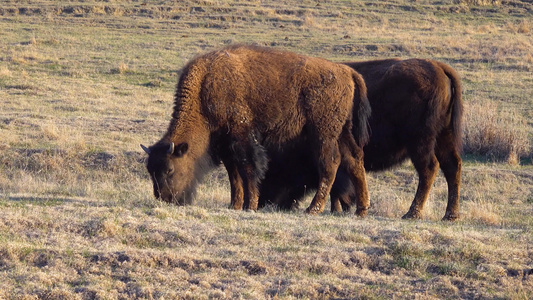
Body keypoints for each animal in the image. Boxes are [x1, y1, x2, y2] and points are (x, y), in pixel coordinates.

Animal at [139, 44, 370, 214]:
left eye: (169, 169)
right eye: (150, 170)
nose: (164, 198)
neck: (205, 88)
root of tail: (346, 72)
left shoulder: (242, 136)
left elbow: (249, 169)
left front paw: (250, 206)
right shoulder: (225, 145)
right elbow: (234, 175)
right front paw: (234, 205)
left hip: (323, 133)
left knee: (330, 164)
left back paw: (313, 209)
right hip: (342, 132)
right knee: (355, 160)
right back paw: (361, 209)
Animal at [258, 58, 462, 220]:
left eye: (273, 169)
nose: (262, 202)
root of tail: (439, 67)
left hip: (419, 141)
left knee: (429, 168)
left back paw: (412, 213)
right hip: (443, 137)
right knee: (452, 166)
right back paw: (450, 215)